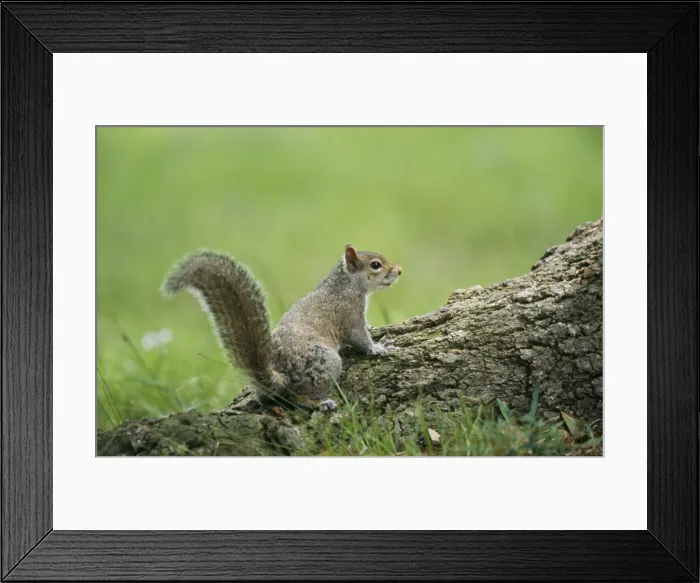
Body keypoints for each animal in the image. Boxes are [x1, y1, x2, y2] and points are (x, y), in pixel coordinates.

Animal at [161, 244, 402, 411]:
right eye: (375, 264)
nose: (399, 270)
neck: (345, 285)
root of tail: (280, 378)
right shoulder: (349, 315)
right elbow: (360, 338)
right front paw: (380, 348)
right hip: (326, 364)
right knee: (296, 397)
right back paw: (318, 404)